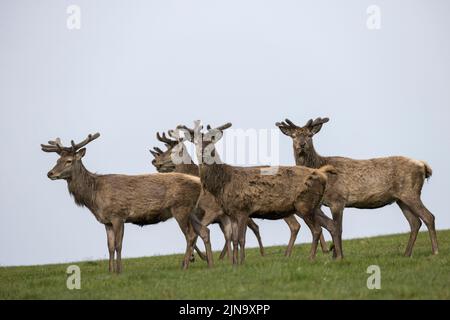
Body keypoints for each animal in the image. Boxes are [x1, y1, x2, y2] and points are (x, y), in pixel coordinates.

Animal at [40, 132, 213, 272]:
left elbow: (118, 245)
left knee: (190, 235)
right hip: (191, 210)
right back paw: (210, 264)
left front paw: (119, 271)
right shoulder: (107, 221)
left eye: (69, 161)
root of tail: (199, 182)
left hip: (180, 208)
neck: (94, 197)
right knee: (204, 231)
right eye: (57, 159)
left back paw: (185, 266)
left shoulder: (118, 215)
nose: (50, 173)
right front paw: (110, 271)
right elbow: (109, 246)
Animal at [176, 121, 338, 264]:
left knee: (316, 230)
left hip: (305, 204)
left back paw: (311, 257)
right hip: (313, 206)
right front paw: (234, 263)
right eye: (196, 142)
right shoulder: (232, 213)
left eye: (211, 141)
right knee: (330, 224)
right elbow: (234, 239)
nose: (204, 152)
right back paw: (337, 256)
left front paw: (241, 262)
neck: (222, 183)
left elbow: (241, 239)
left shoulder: (242, 208)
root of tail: (322, 175)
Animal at [276, 118, 438, 260]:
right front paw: (336, 255)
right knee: (415, 222)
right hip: (400, 199)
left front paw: (338, 256)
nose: (302, 145)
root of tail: (423, 166)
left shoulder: (338, 199)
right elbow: (334, 227)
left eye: (310, 135)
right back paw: (406, 254)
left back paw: (435, 251)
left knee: (428, 217)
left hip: (410, 192)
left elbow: (338, 227)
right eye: (294, 136)